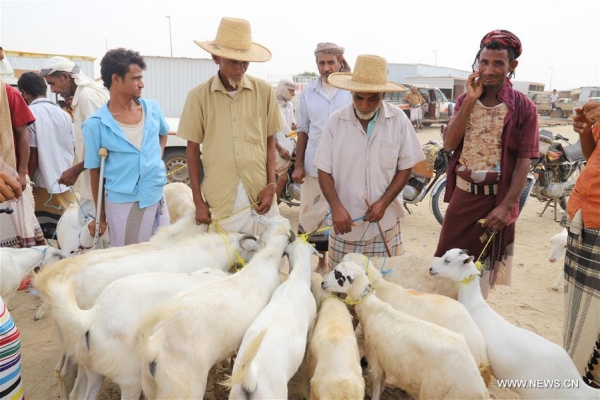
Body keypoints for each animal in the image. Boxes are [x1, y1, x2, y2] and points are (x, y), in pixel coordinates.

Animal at [324, 262, 488, 400]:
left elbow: (376, 390)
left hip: (434, 392)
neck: (373, 310)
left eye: (339, 274)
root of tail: (476, 384)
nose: (323, 283)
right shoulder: (384, 363)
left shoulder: (375, 363)